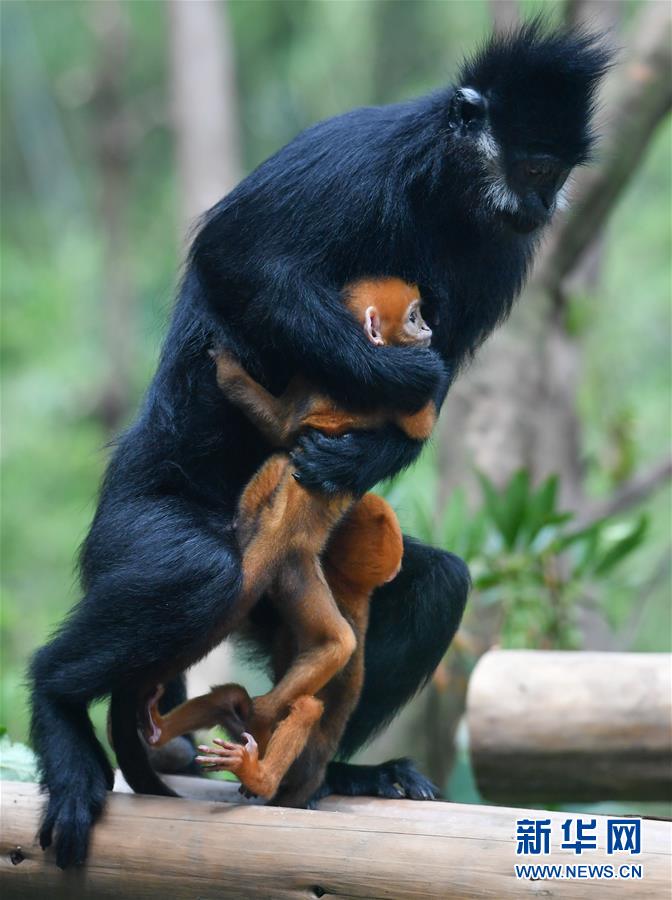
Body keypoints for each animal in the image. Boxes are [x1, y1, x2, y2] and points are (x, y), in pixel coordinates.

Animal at [142, 280, 436, 800]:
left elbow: (283, 426)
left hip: (282, 563)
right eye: (414, 317)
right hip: (296, 572)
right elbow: (415, 419)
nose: (430, 330)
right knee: (330, 647)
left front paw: (227, 368)